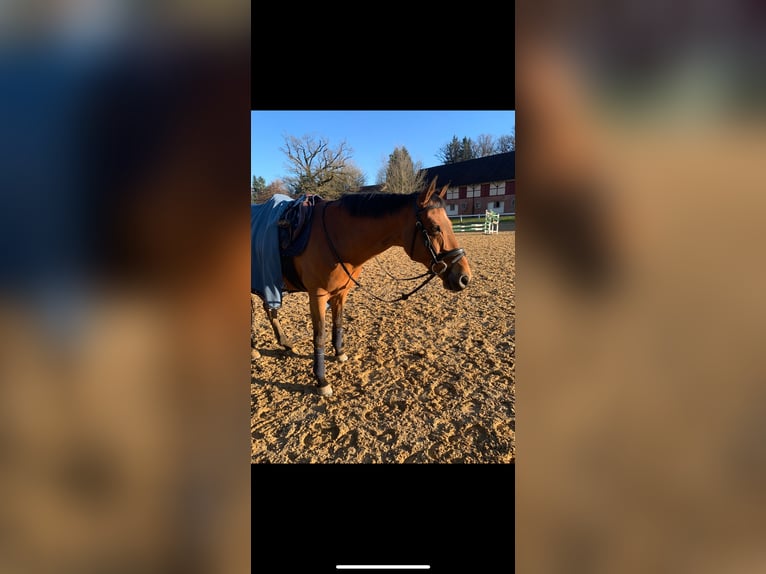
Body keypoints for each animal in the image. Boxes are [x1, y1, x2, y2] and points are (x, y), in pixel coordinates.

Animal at [254, 178, 468, 398]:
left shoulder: (341, 293)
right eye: (435, 227)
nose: (463, 277)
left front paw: (339, 353)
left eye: (449, 224)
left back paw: (282, 342)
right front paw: (321, 380)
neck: (335, 235)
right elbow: (319, 336)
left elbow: (338, 324)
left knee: (269, 310)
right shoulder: (317, 296)